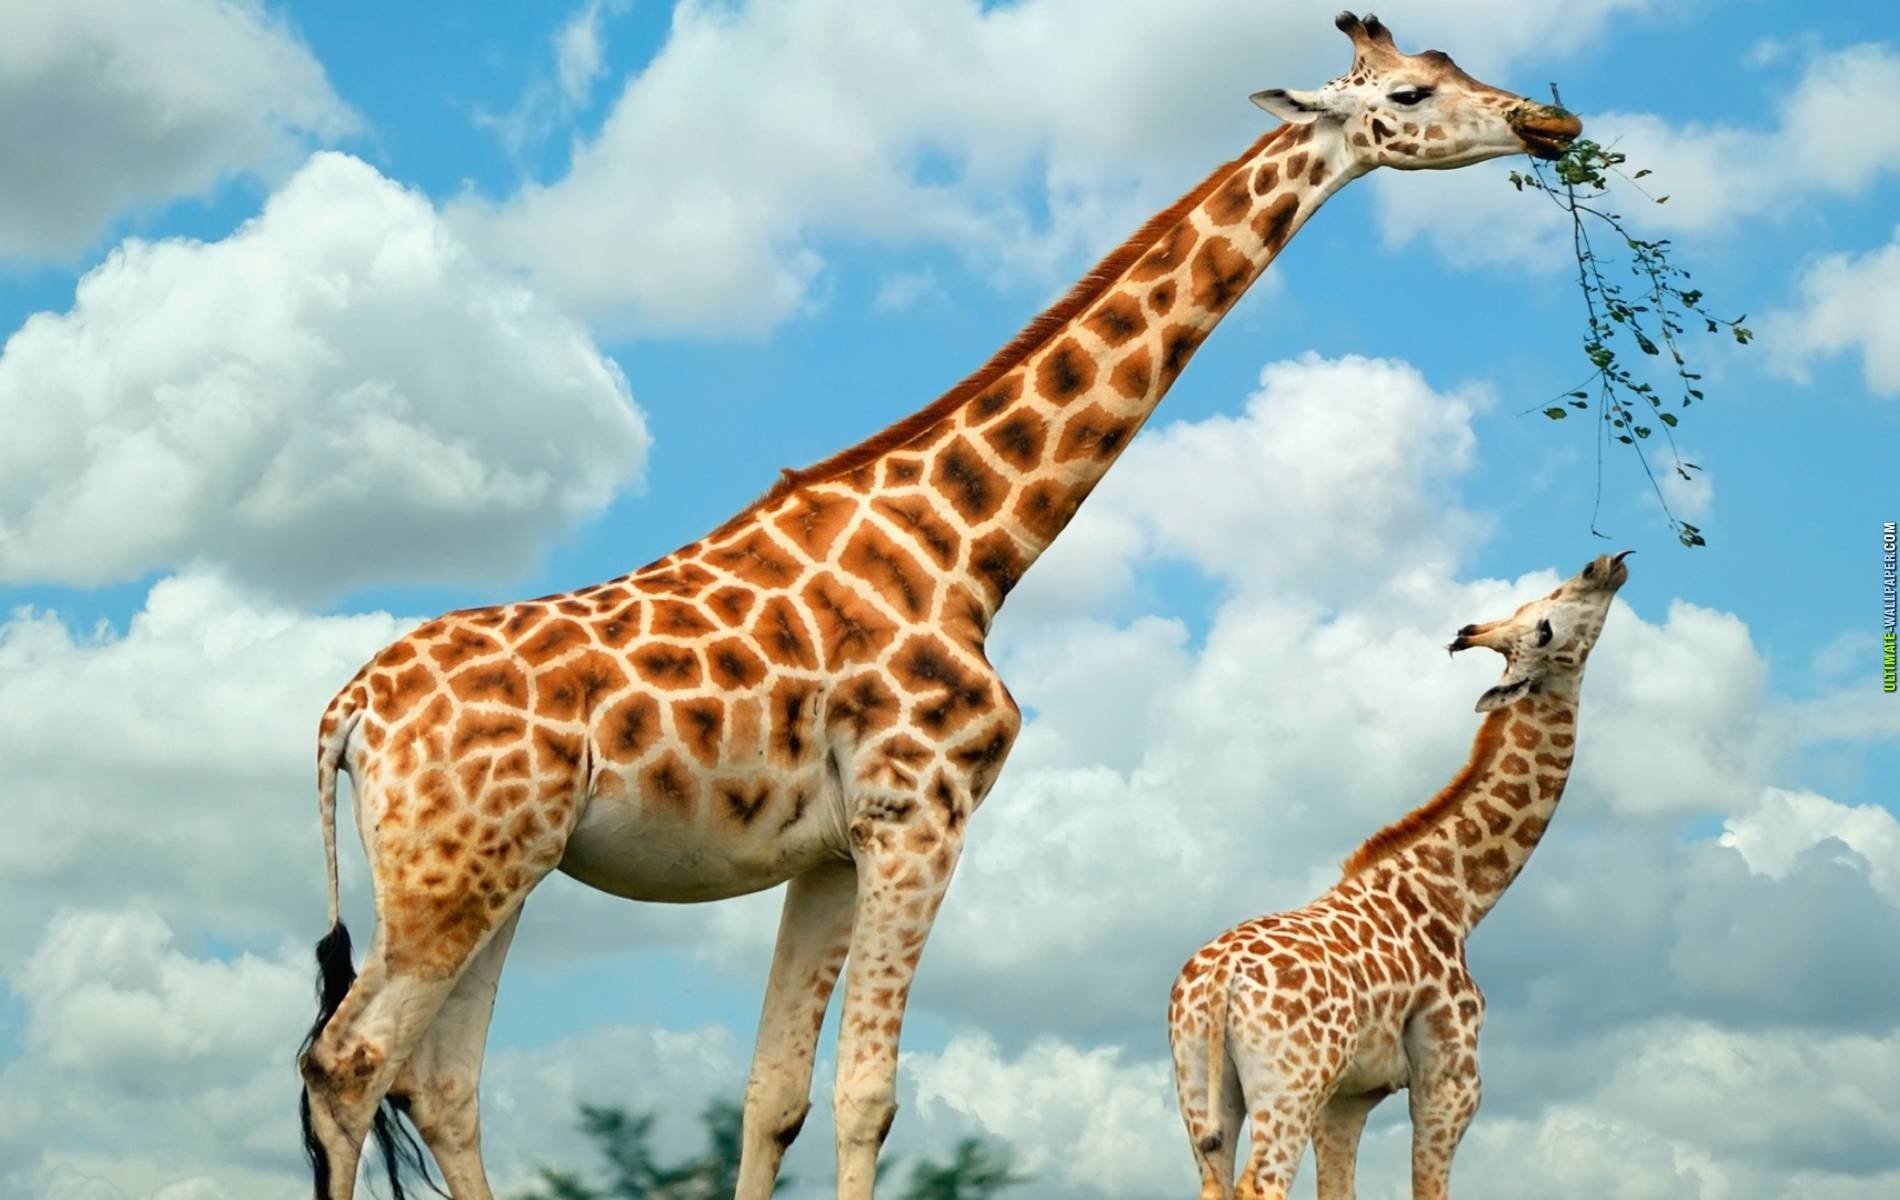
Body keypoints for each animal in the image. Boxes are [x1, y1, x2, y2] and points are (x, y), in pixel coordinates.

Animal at [295, 13, 1583, 1200]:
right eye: (1410, 92)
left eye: (1455, 63)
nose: (1550, 123)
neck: (973, 549)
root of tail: (346, 714)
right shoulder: (922, 814)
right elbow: (867, 1096)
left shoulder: (829, 848)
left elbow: (773, 1095)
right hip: (454, 875)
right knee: (347, 1062)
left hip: (499, 869)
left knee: (440, 1080)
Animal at [1166, 552, 1631, 1200]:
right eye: (1544, 627)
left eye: (1533, 607)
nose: (1603, 564)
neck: (1455, 899)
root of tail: (1218, 983)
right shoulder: (1450, 1083)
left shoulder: (1348, 1098)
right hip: (1289, 1084)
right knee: (1261, 1184)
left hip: (1201, 1089)